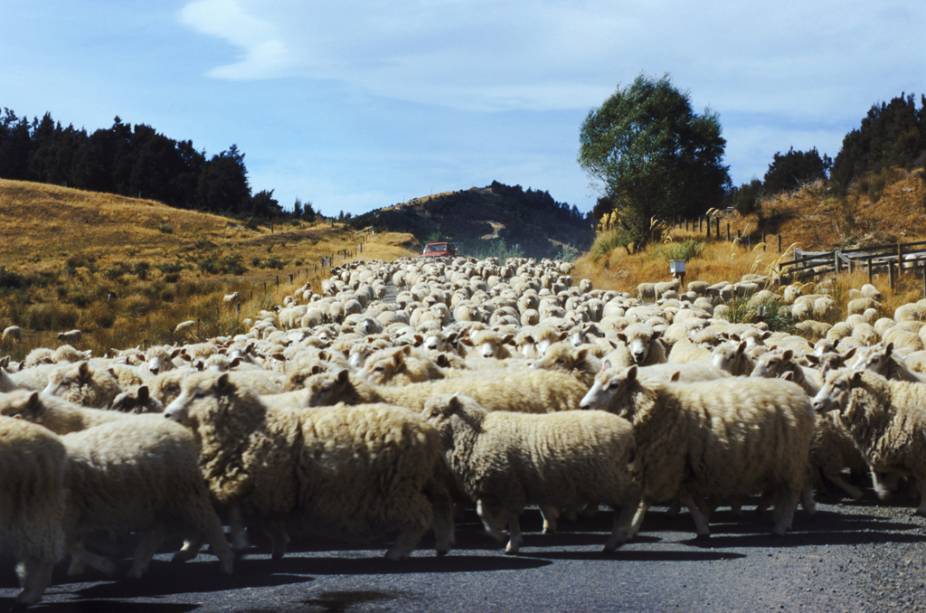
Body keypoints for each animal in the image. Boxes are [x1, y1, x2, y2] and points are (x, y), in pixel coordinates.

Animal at [169, 370, 458, 560]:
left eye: (200, 394)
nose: (168, 414)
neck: (250, 427)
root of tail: (426, 429)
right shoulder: (259, 489)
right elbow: (254, 519)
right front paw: (274, 548)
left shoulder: (265, 487)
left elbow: (249, 519)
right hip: (417, 480)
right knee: (441, 506)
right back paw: (442, 544)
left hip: (398, 485)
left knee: (421, 515)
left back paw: (397, 552)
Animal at [424, 392, 640, 556]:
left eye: (435, 413)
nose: (421, 427)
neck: (475, 435)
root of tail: (628, 431)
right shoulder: (494, 489)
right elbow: (483, 514)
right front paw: (502, 535)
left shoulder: (508, 486)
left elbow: (507, 516)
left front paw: (510, 541)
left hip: (609, 479)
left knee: (630, 501)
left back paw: (617, 539)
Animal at [584, 364, 816, 536]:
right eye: (594, 380)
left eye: (614, 385)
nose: (584, 406)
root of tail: (798, 392)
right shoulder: (677, 467)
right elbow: (686, 498)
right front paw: (703, 525)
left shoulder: (667, 464)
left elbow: (649, 499)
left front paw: (631, 528)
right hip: (777, 462)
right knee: (780, 490)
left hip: (791, 458)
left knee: (793, 491)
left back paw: (783, 525)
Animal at [816, 366, 926, 512]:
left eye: (838, 385)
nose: (815, 403)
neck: (886, 407)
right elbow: (881, 473)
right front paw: (885, 492)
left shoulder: (918, 455)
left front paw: (922, 507)